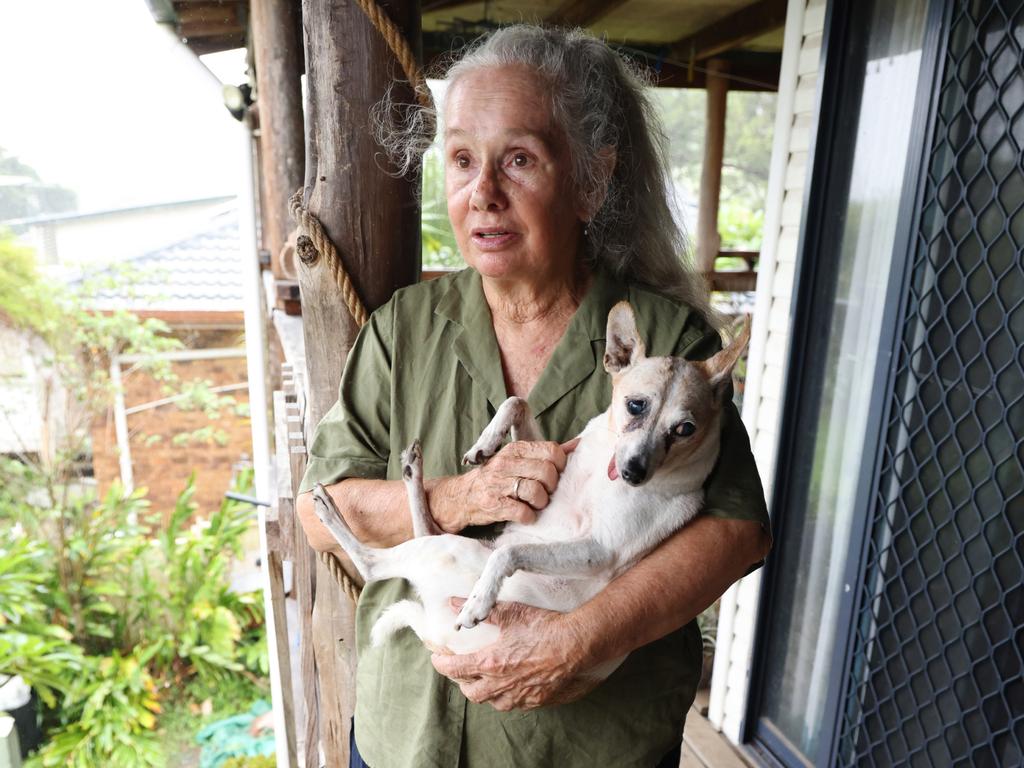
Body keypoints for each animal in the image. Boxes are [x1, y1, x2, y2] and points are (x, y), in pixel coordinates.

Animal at [313, 303, 753, 679]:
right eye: (635, 405)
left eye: (685, 429)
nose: (632, 473)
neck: (605, 463)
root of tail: (435, 632)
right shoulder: (551, 468)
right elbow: (517, 401)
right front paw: (486, 443)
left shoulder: (599, 551)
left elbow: (510, 553)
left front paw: (480, 600)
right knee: (420, 531)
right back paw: (411, 471)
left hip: (448, 550)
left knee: (373, 564)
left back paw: (330, 507)